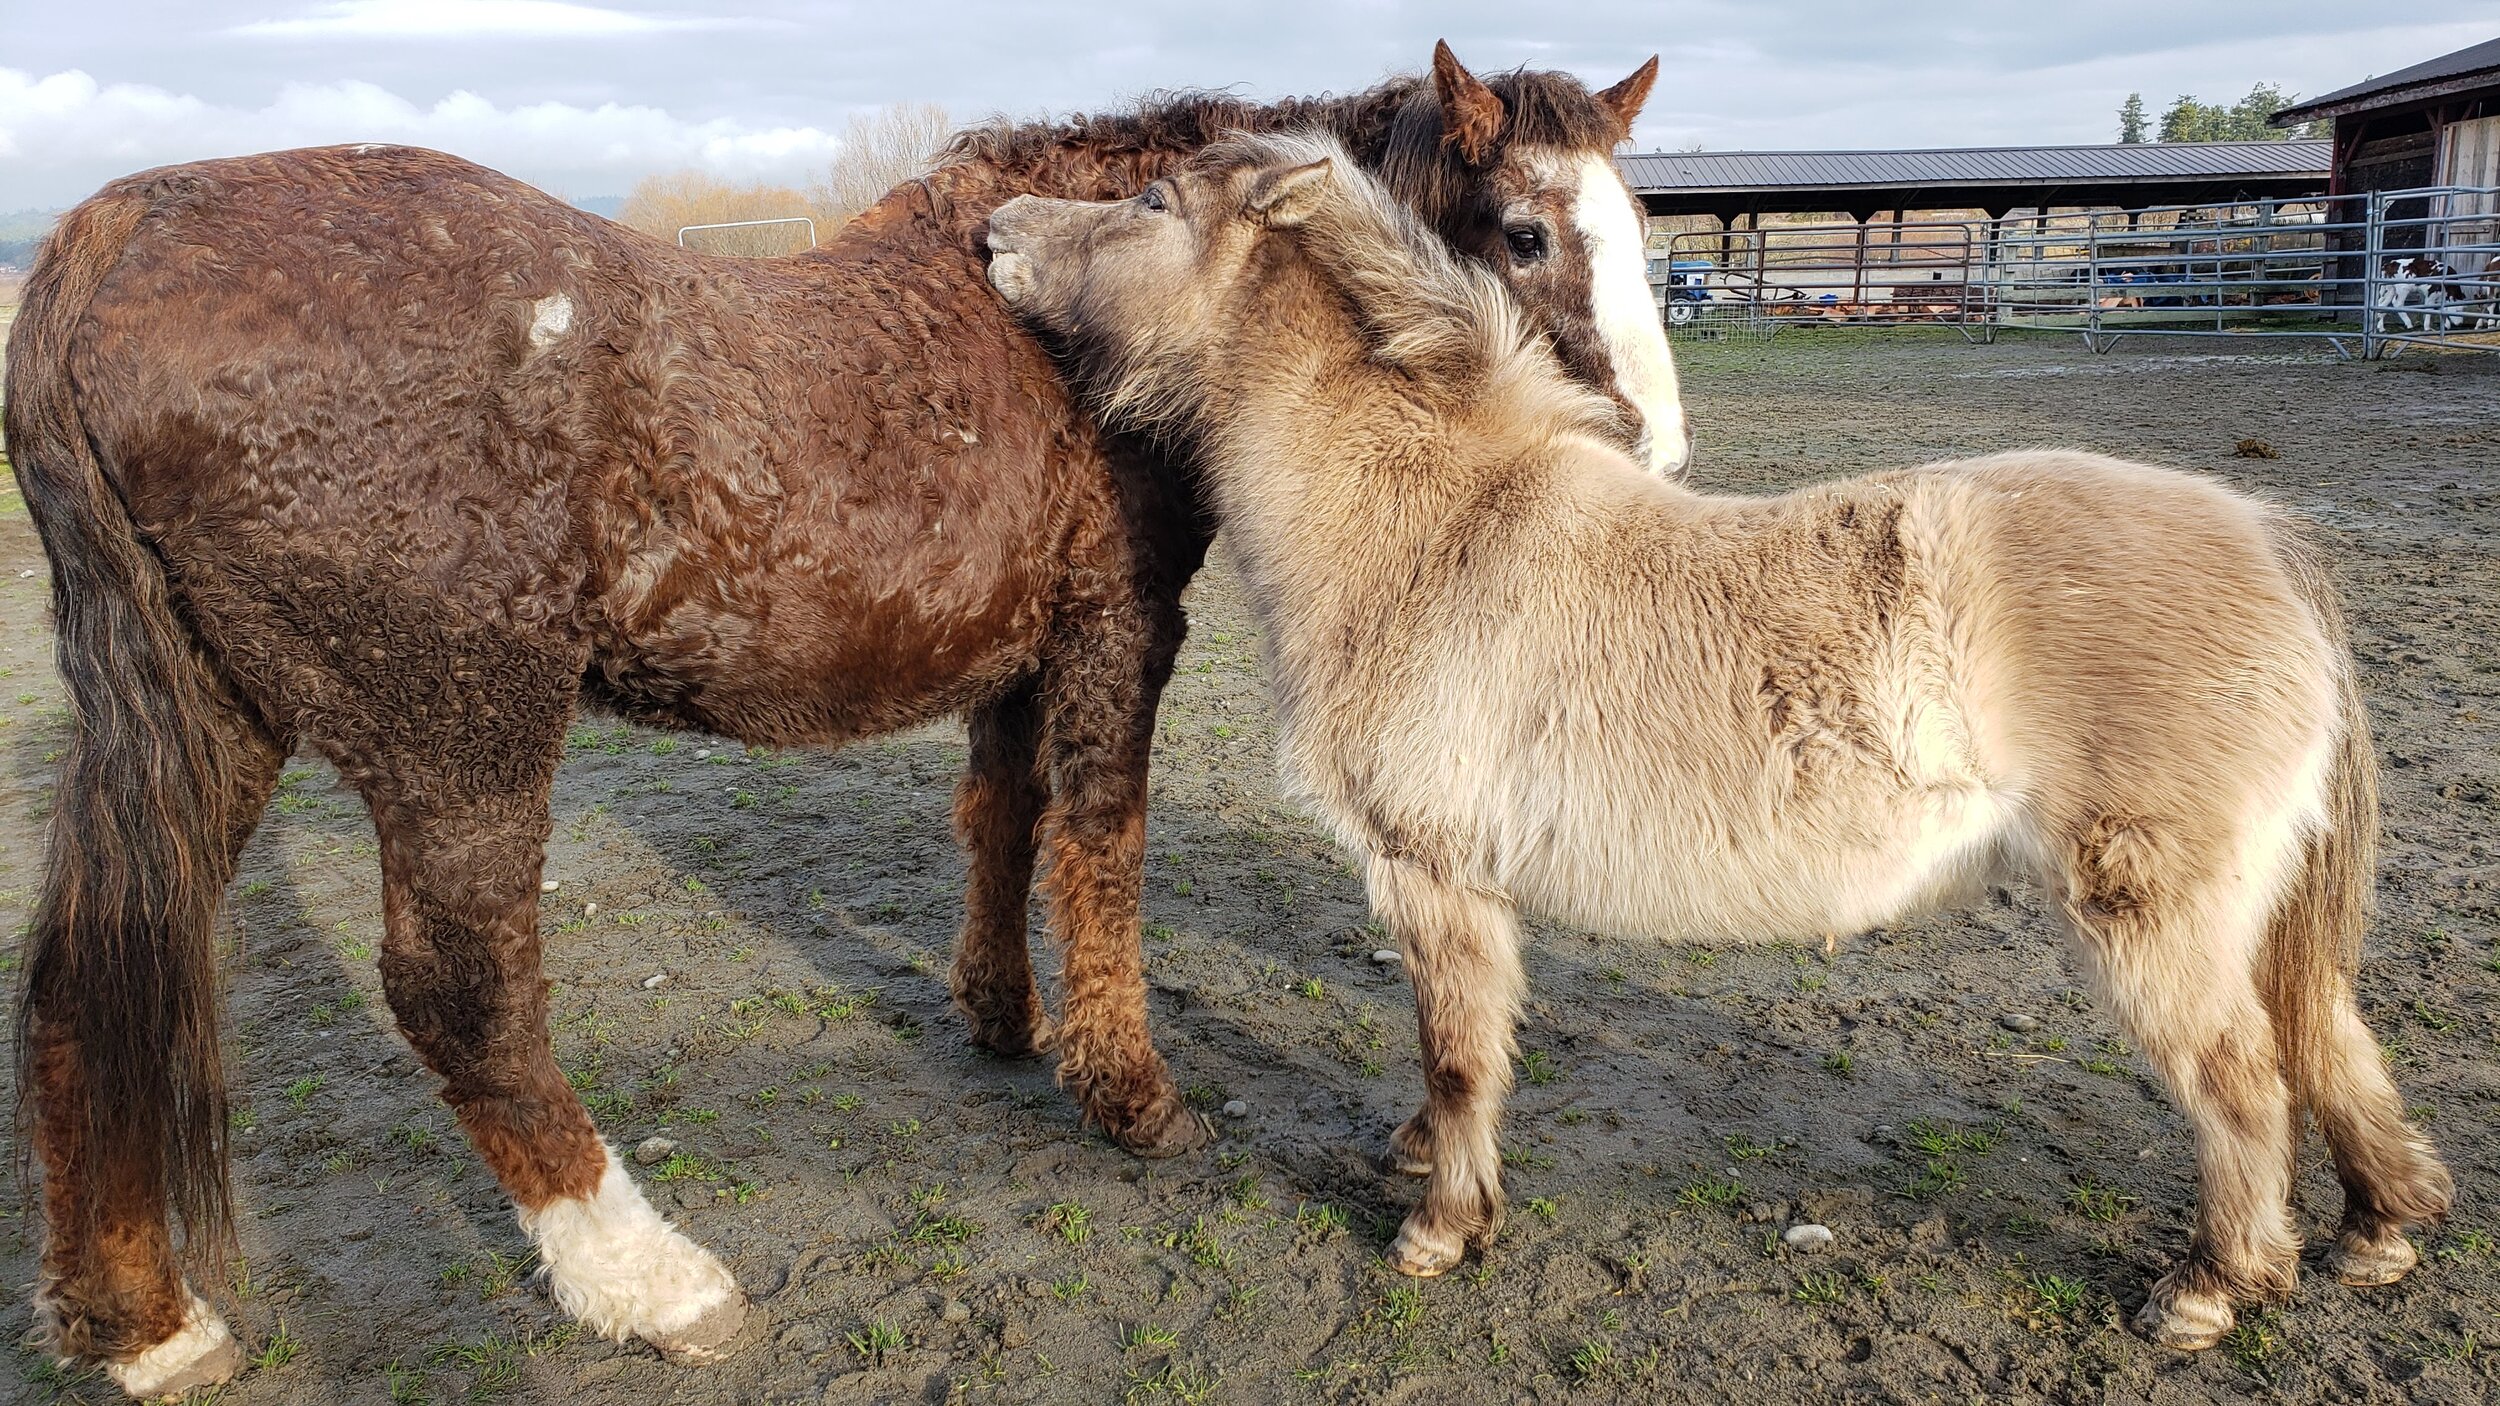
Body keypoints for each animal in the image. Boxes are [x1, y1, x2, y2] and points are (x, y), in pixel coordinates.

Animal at [4, 40, 1680, 1390]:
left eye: (1637, 226)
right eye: (1525, 230)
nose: (1653, 453)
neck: (1058, 321)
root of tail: (113, 233)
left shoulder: (1016, 658)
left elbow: (1002, 824)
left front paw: (1003, 1019)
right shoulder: (1117, 637)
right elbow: (1104, 849)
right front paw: (1129, 1092)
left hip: (210, 729)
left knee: (91, 976)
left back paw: (145, 1322)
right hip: (458, 735)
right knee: (461, 997)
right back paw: (649, 1278)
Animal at [985, 136, 2450, 1350]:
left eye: (1151, 202)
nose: (994, 230)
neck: (1425, 529)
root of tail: (2265, 537)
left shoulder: (1432, 873)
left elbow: (1457, 1050)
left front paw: (1441, 1226)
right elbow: (1460, 1048)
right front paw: (1422, 1158)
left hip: (2158, 919)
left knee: (2243, 1082)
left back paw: (2211, 1287)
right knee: (2328, 1043)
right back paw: (2377, 1231)